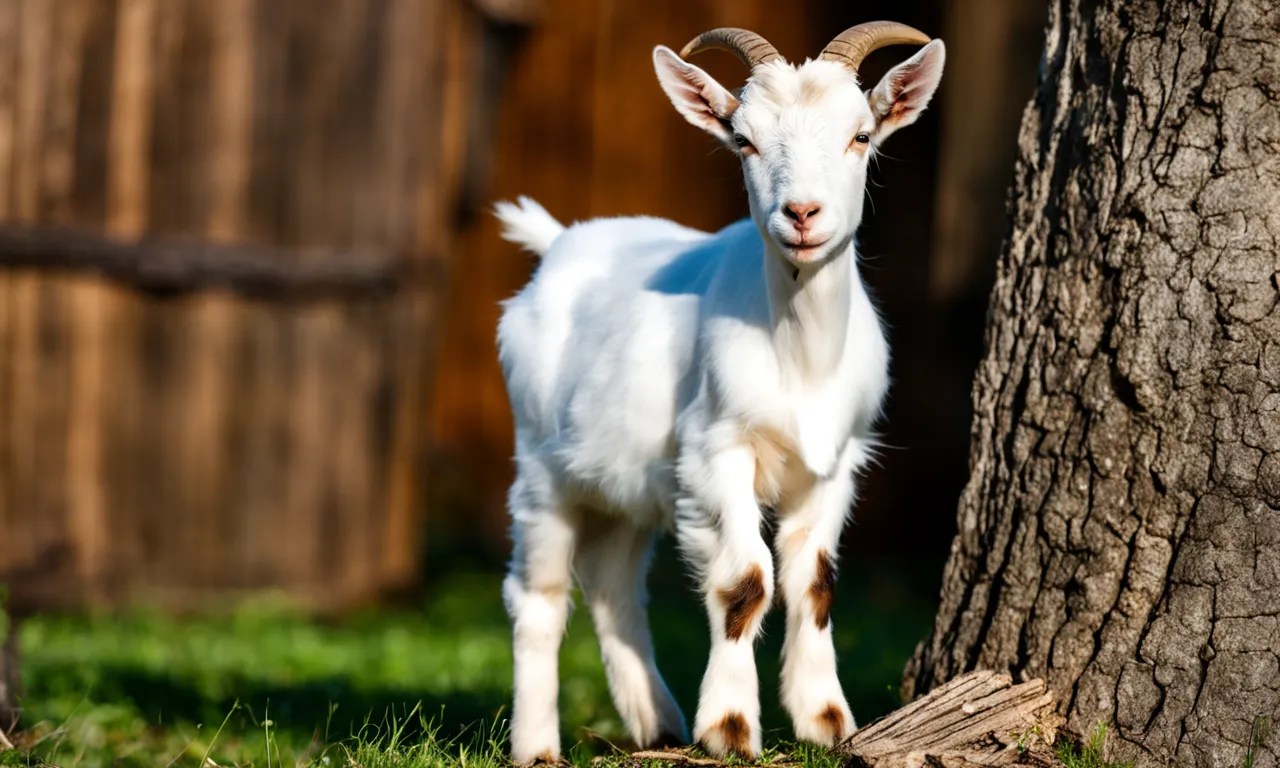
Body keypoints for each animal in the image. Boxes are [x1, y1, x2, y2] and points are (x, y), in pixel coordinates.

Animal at [495, 22, 945, 763]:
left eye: (860, 135)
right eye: (744, 140)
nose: (801, 213)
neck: (800, 356)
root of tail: (559, 244)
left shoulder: (835, 461)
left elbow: (815, 581)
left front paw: (826, 721)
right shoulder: (716, 452)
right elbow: (746, 579)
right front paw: (731, 728)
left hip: (626, 478)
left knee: (614, 586)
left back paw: (657, 721)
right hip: (538, 461)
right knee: (539, 594)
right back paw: (537, 745)